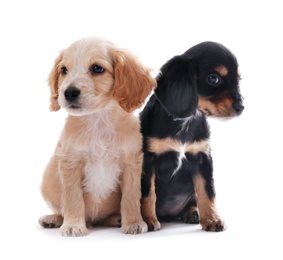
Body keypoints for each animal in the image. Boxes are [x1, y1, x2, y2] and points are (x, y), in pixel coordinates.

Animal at [38, 37, 156, 237]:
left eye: (97, 69)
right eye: (64, 70)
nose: (68, 93)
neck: (98, 120)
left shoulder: (131, 164)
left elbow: (130, 197)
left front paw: (133, 222)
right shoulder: (70, 163)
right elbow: (73, 198)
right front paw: (73, 225)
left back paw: (117, 219)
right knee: (61, 210)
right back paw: (53, 219)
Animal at [141, 41, 245, 233]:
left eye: (238, 79)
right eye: (213, 78)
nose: (241, 107)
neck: (185, 121)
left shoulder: (203, 158)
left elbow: (207, 191)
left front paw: (212, 219)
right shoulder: (147, 159)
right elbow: (147, 192)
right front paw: (146, 219)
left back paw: (192, 212)